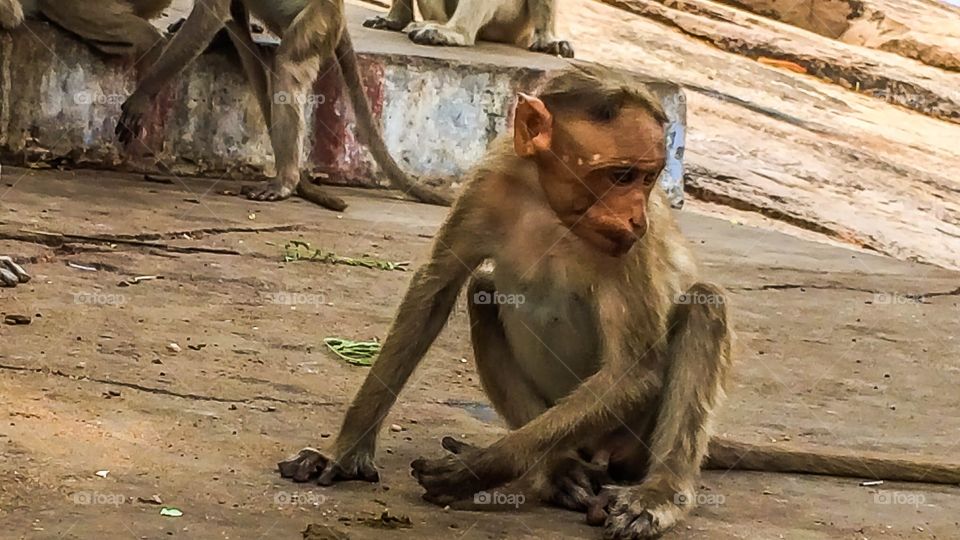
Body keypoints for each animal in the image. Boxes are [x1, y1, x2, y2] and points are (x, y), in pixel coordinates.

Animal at [115, 0, 451, 212]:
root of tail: (340, 17)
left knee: (288, 66)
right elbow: (230, 13)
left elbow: (212, 12)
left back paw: (286, 181)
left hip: (317, 21)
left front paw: (142, 96)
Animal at [277, 64, 960, 538]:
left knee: (703, 305)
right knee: (483, 291)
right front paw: (345, 453)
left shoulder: (629, 250)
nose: (635, 216)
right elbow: (436, 290)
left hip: (634, 437)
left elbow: (637, 369)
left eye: (650, 177)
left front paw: (488, 466)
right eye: (621, 175)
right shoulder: (490, 184)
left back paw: (656, 493)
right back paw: (558, 470)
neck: (552, 209)